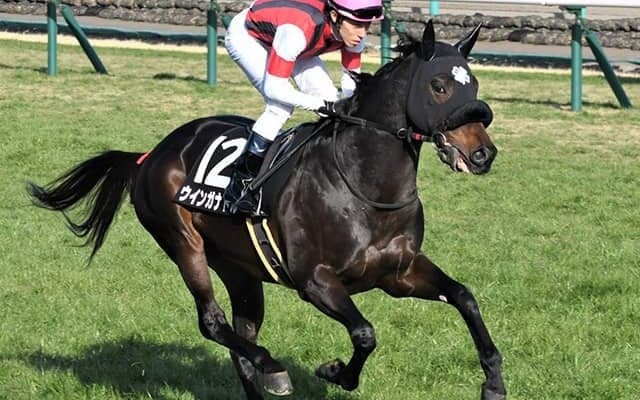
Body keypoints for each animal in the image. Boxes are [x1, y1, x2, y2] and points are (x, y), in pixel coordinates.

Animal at [27, 21, 506, 400]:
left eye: (474, 85)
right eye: (439, 86)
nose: (483, 154)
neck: (365, 188)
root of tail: (150, 154)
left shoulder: (399, 273)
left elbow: (464, 296)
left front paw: (494, 380)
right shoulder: (315, 281)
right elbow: (365, 333)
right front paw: (335, 372)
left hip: (239, 269)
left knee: (240, 339)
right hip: (183, 245)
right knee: (213, 323)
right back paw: (273, 368)